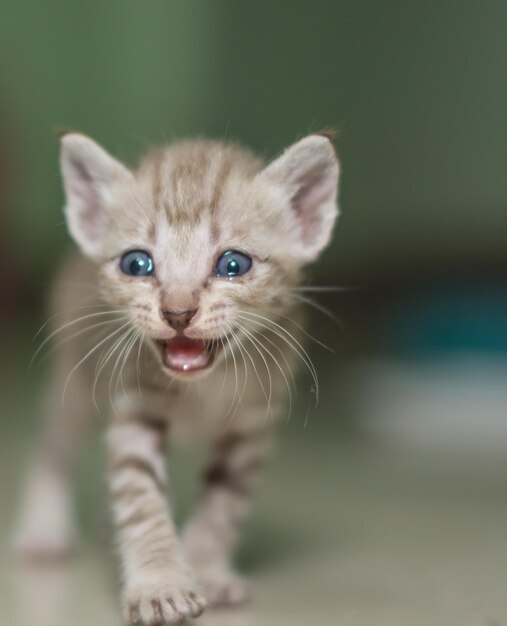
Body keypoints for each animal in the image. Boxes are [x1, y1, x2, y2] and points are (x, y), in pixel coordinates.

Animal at [14, 130, 342, 620]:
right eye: (137, 264)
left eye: (233, 265)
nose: (178, 312)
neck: (203, 390)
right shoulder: (134, 409)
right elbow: (142, 500)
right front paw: (160, 584)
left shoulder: (251, 429)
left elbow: (222, 507)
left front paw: (205, 568)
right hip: (75, 381)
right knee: (52, 449)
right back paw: (43, 529)